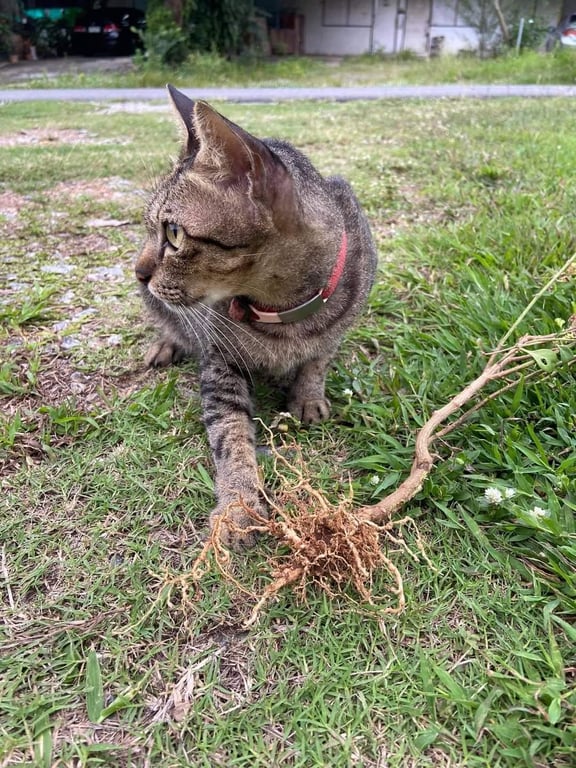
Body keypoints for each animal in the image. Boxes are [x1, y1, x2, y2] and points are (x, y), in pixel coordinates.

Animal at [135, 85, 377, 549]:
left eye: (173, 233)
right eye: (151, 229)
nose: (137, 272)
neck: (282, 312)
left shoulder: (344, 318)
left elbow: (320, 357)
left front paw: (308, 395)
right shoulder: (218, 364)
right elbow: (230, 435)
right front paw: (238, 506)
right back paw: (167, 342)